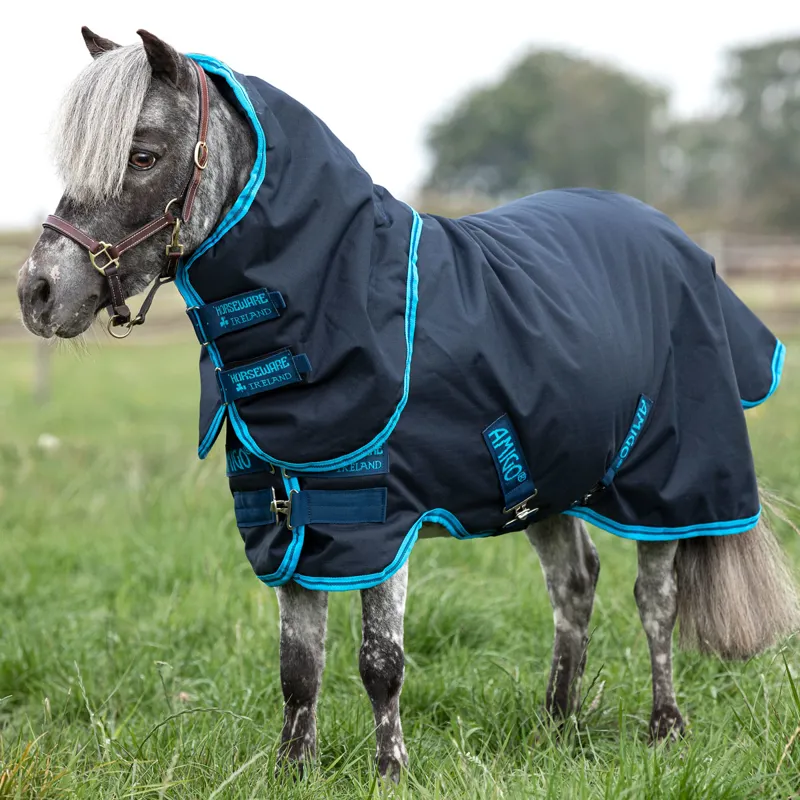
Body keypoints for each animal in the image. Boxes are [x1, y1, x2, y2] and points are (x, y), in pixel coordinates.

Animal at [17, 28, 800, 781]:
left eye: (143, 154)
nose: (37, 291)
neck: (342, 294)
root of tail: (676, 240)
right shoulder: (288, 518)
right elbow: (298, 665)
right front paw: (293, 770)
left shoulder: (378, 519)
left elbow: (379, 661)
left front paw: (391, 770)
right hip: (548, 477)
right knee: (575, 586)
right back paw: (556, 724)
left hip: (668, 484)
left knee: (655, 599)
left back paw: (664, 728)